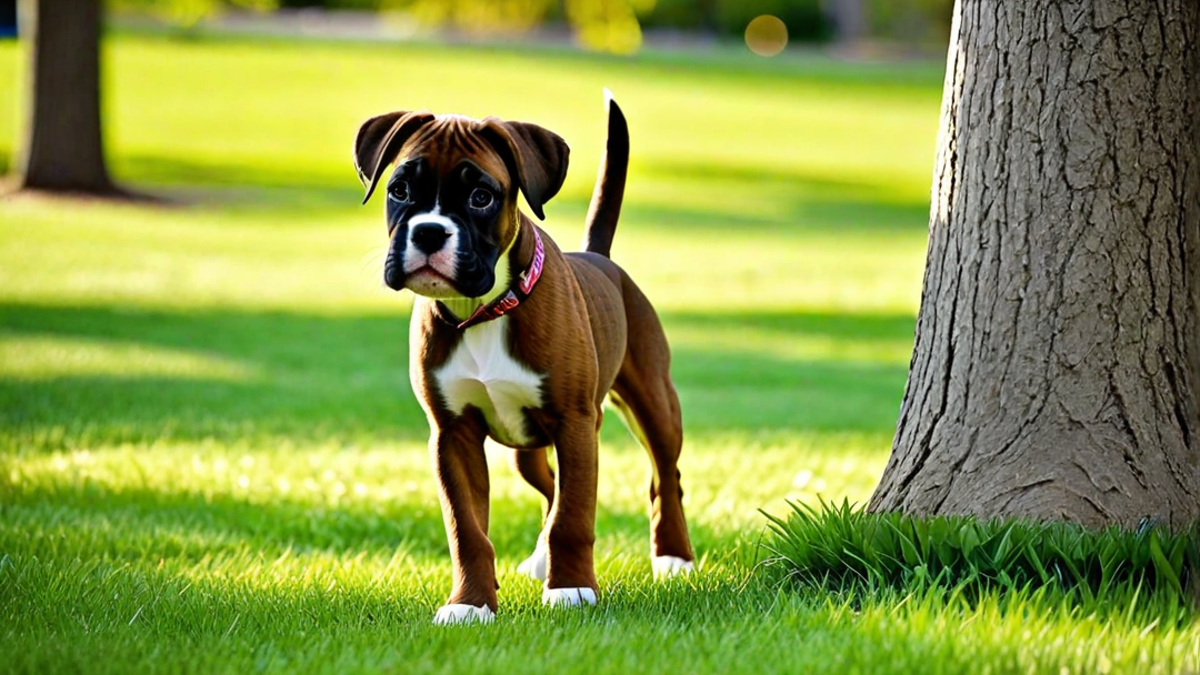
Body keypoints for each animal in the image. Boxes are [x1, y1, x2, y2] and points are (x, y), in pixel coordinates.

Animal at [352, 91, 696, 624]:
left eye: (481, 197)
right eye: (400, 189)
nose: (429, 232)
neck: (483, 310)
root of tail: (599, 257)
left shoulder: (575, 424)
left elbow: (573, 517)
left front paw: (571, 589)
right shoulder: (452, 435)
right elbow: (468, 529)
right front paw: (470, 603)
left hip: (653, 405)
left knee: (665, 477)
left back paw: (673, 557)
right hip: (527, 449)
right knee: (550, 486)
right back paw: (539, 560)